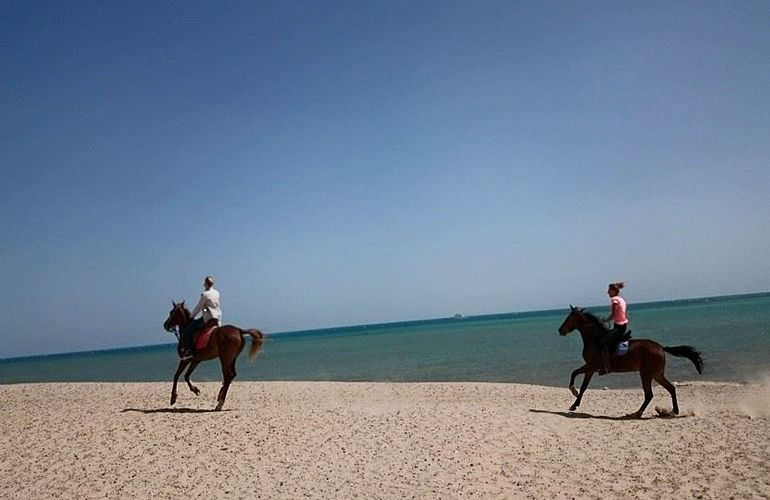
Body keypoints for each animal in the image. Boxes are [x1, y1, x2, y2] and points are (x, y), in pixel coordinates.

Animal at [556, 304, 700, 418]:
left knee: (649, 394)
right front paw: (574, 396)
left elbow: (581, 384)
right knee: (670, 388)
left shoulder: (591, 367)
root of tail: (661, 347)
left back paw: (637, 413)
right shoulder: (589, 367)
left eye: (569, 318)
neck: (595, 340)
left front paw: (574, 401)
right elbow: (575, 375)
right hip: (657, 374)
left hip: (646, 374)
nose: (560, 330)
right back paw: (673, 411)